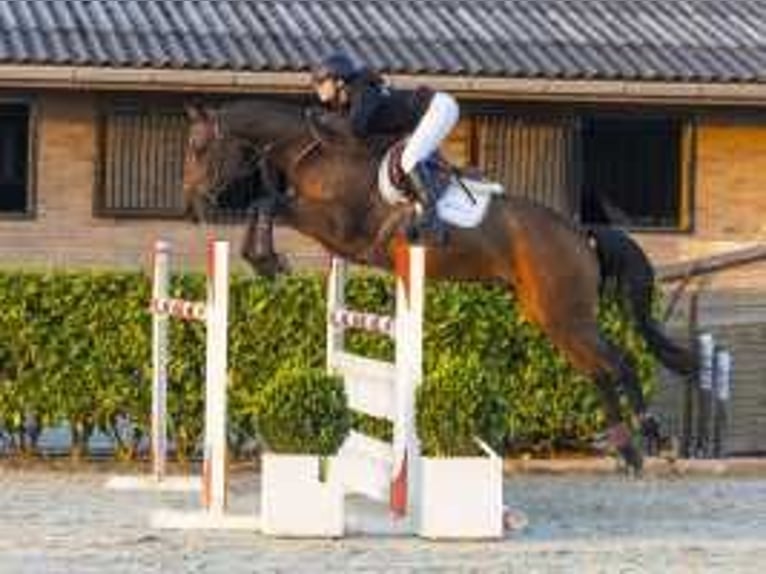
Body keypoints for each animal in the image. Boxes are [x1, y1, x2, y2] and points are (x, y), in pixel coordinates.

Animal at [183, 99, 700, 474]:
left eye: (200, 148)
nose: (195, 204)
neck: (316, 153)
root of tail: (580, 233)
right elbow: (266, 204)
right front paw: (263, 260)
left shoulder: (338, 228)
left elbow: (268, 203)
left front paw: (267, 259)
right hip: (550, 314)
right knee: (597, 371)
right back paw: (626, 449)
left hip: (565, 312)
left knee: (620, 361)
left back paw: (652, 434)